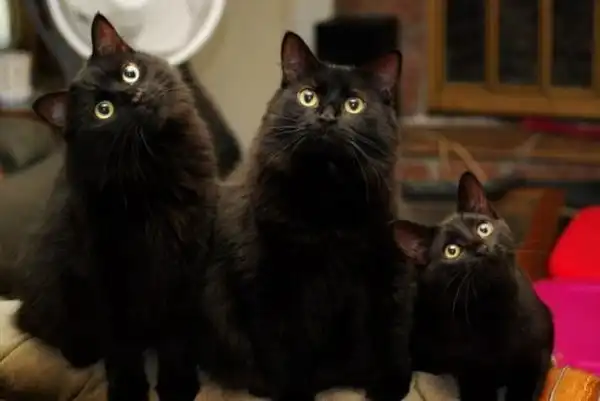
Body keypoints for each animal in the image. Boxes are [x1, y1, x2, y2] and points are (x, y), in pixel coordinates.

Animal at [14, 13, 217, 401]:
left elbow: (175, 337)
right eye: (103, 111)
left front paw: (177, 383)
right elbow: (121, 345)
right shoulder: (105, 273)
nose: (135, 95)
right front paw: (128, 387)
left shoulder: (185, 262)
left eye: (130, 73)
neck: (154, 168)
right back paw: (79, 351)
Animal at [198, 31, 413, 401]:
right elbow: (283, 350)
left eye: (354, 104)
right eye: (308, 96)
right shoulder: (270, 279)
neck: (326, 202)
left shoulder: (381, 268)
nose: (327, 117)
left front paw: (388, 385)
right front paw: (294, 393)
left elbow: (387, 331)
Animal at [393, 171, 554, 401]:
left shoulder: (537, 357)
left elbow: (525, 391)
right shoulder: (473, 375)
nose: (481, 248)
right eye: (452, 251)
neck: (494, 307)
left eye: (483, 229)